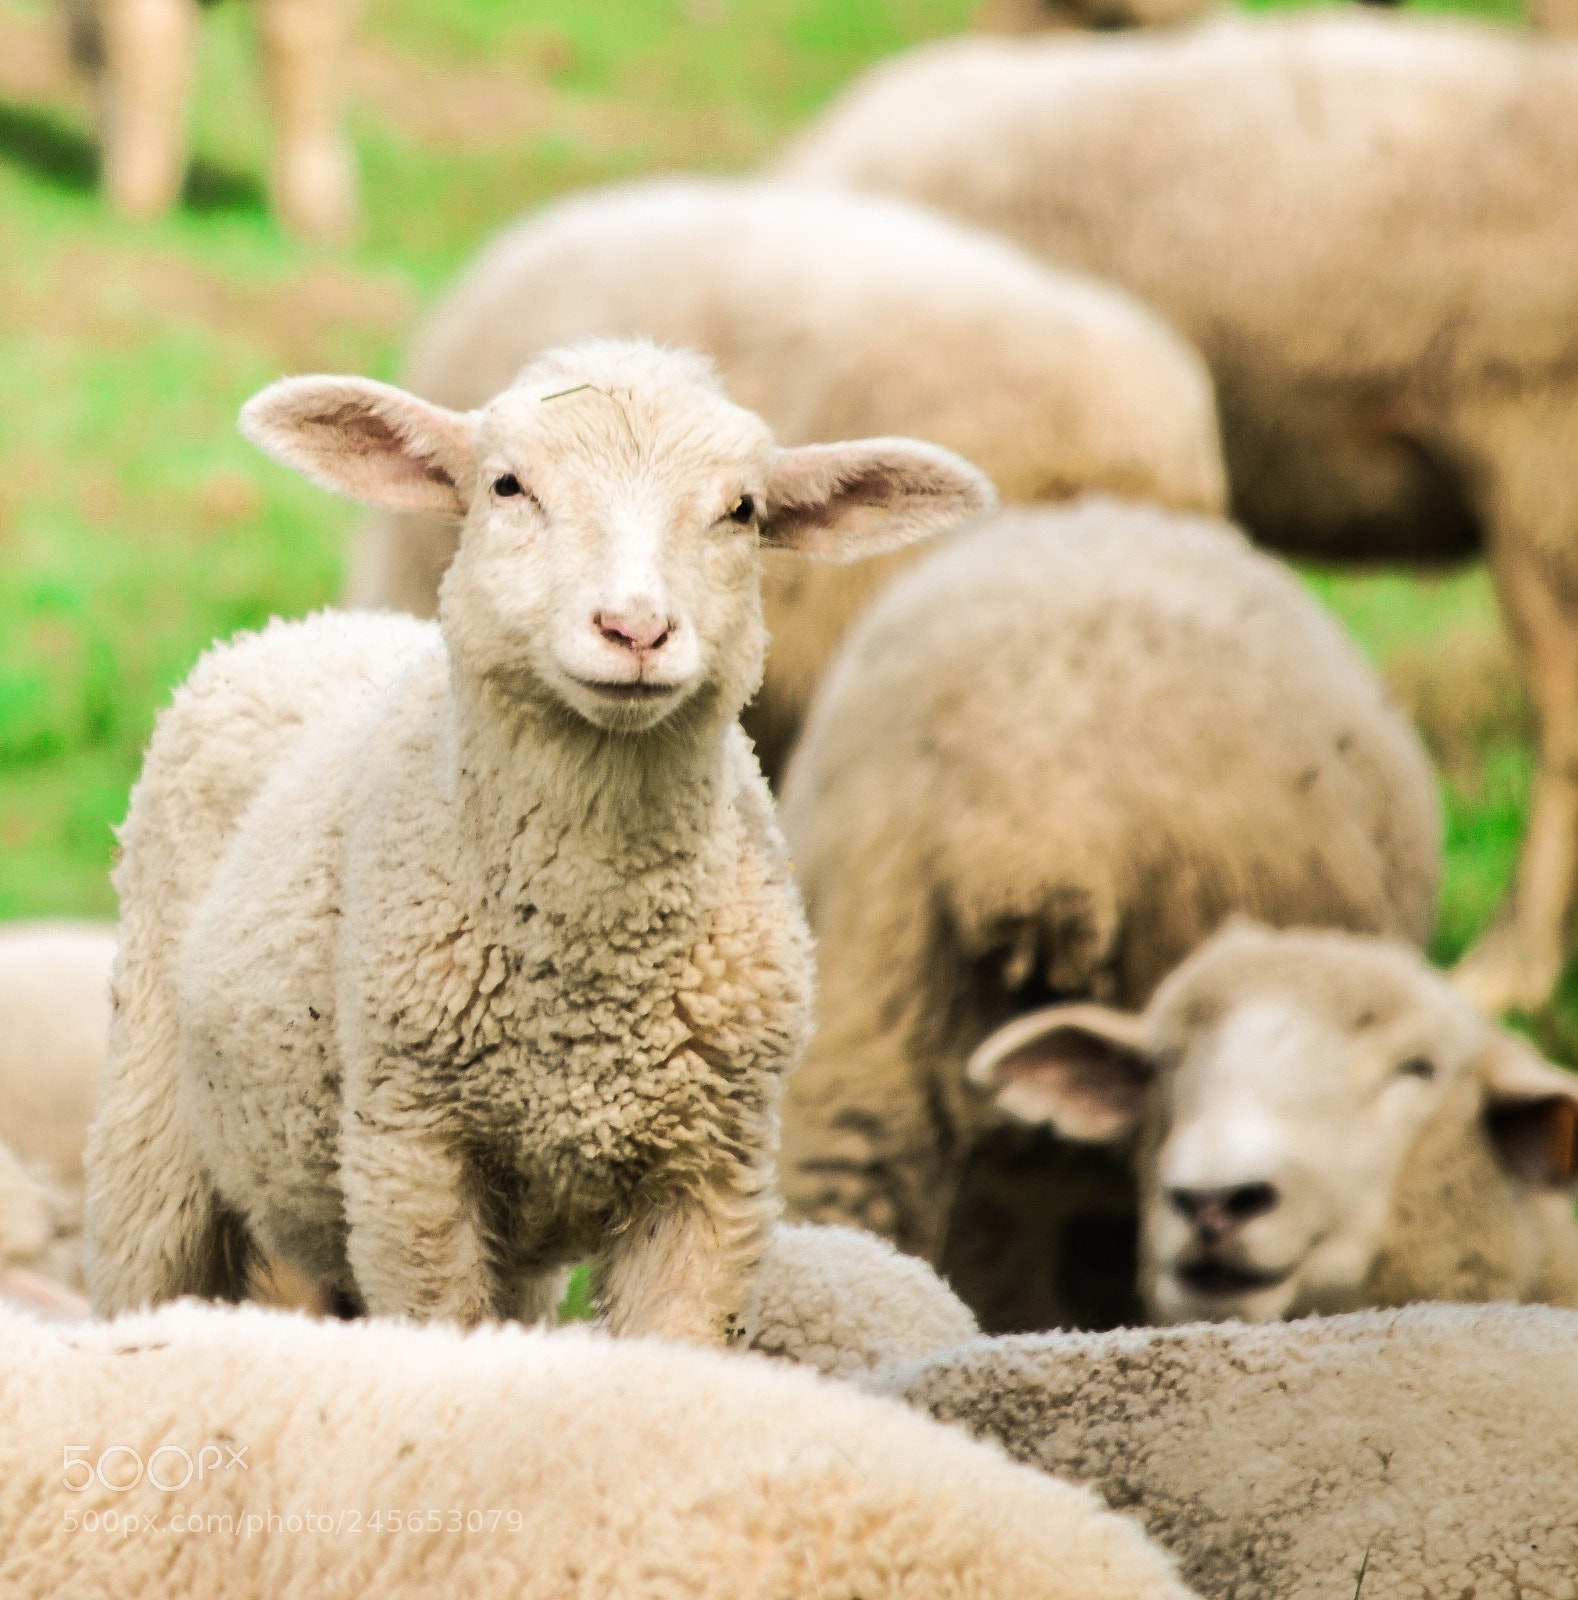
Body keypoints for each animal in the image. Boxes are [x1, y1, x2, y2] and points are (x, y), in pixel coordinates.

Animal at [83, 338, 993, 1344]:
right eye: (508, 486)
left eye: (743, 510)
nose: (635, 629)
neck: (590, 975)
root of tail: (311, 624)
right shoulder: (412, 1160)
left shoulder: (712, 1175)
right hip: (151, 1132)